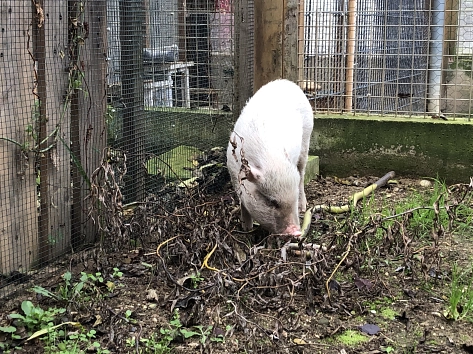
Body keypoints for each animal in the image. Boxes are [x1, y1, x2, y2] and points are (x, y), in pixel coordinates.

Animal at [226, 79, 314, 236]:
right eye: (272, 201)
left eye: (293, 199)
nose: (297, 232)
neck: (271, 161)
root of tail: (286, 82)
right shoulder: (232, 171)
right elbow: (243, 203)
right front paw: (246, 229)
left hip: (306, 138)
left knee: (302, 174)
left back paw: (304, 208)